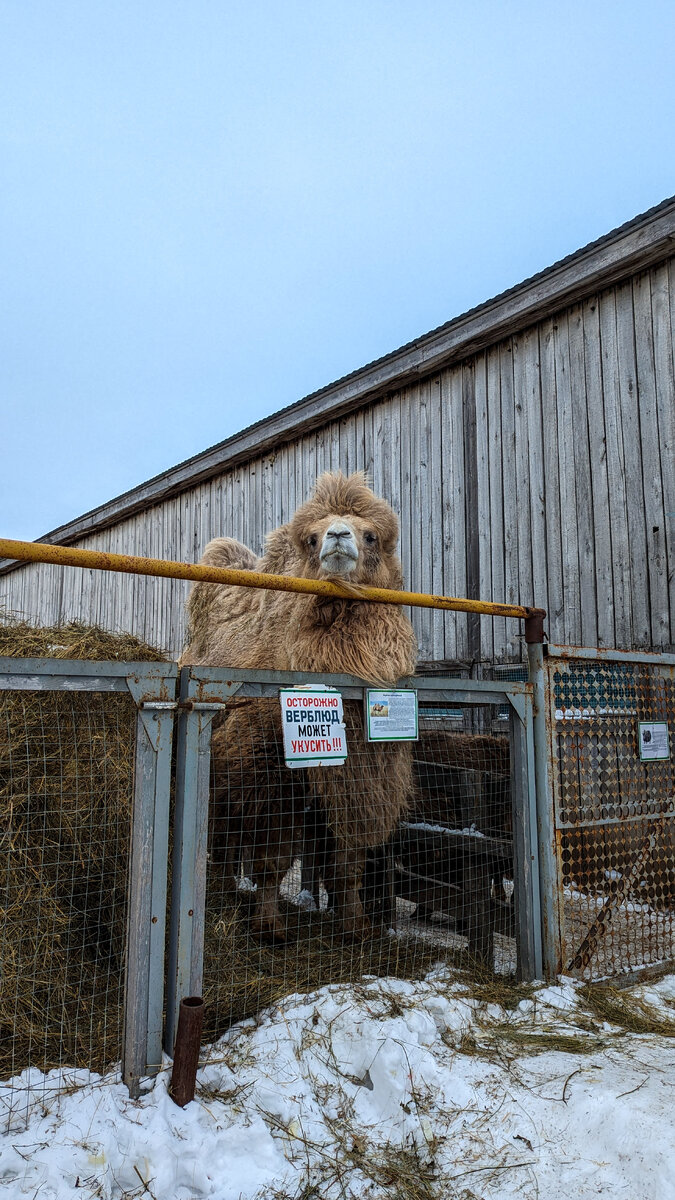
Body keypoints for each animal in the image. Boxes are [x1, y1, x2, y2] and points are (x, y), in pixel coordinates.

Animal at [182, 468, 415, 936]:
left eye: (371, 535)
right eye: (310, 538)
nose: (338, 536)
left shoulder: (357, 771)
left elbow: (347, 858)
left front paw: (355, 924)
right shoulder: (269, 769)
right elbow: (273, 857)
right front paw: (271, 927)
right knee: (219, 832)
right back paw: (219, 894)